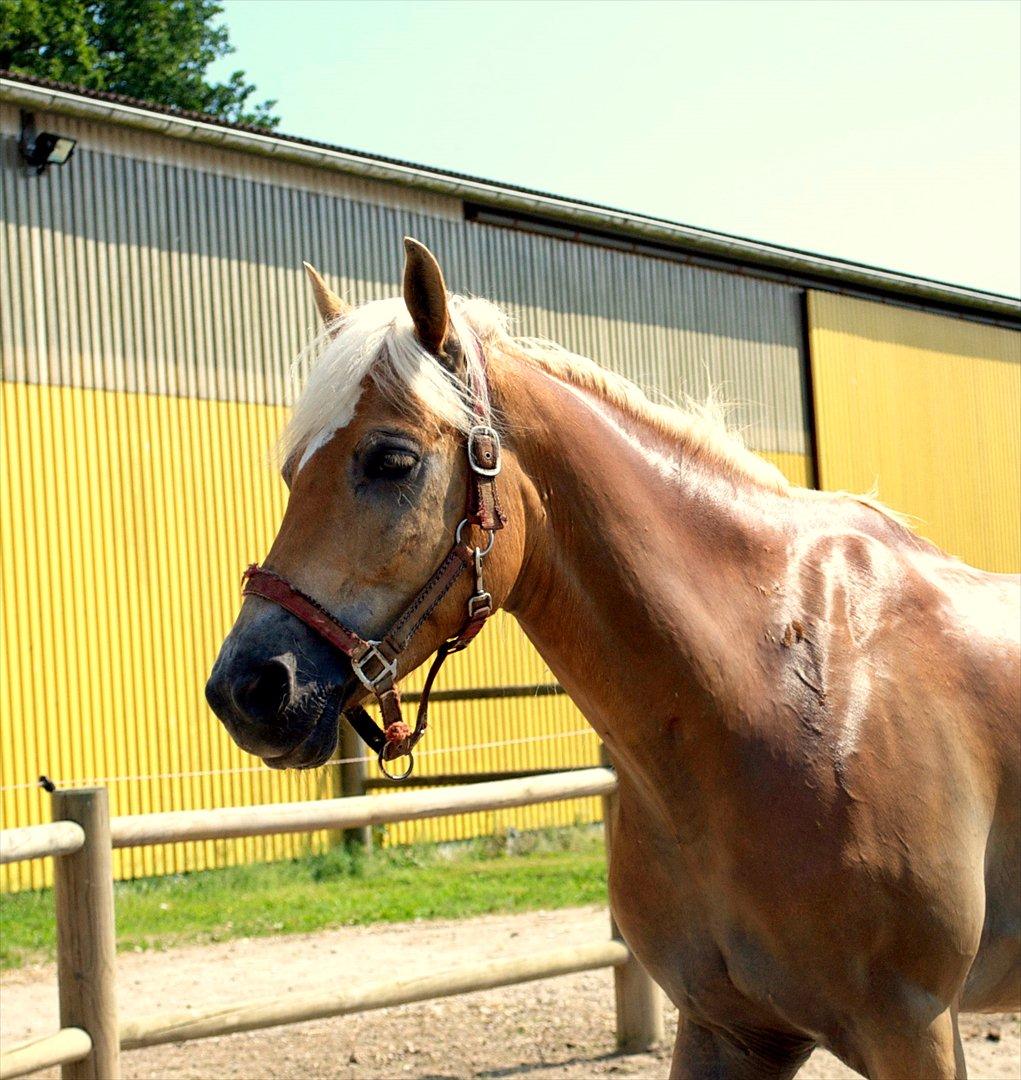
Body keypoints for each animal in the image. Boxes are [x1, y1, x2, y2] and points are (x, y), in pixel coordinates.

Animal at [207, 238, 1019, 1080]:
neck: (784, 690)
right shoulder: (725, 1030)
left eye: (391, 460)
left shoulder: (913, 1030)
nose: (248, 687)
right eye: (291, 471)